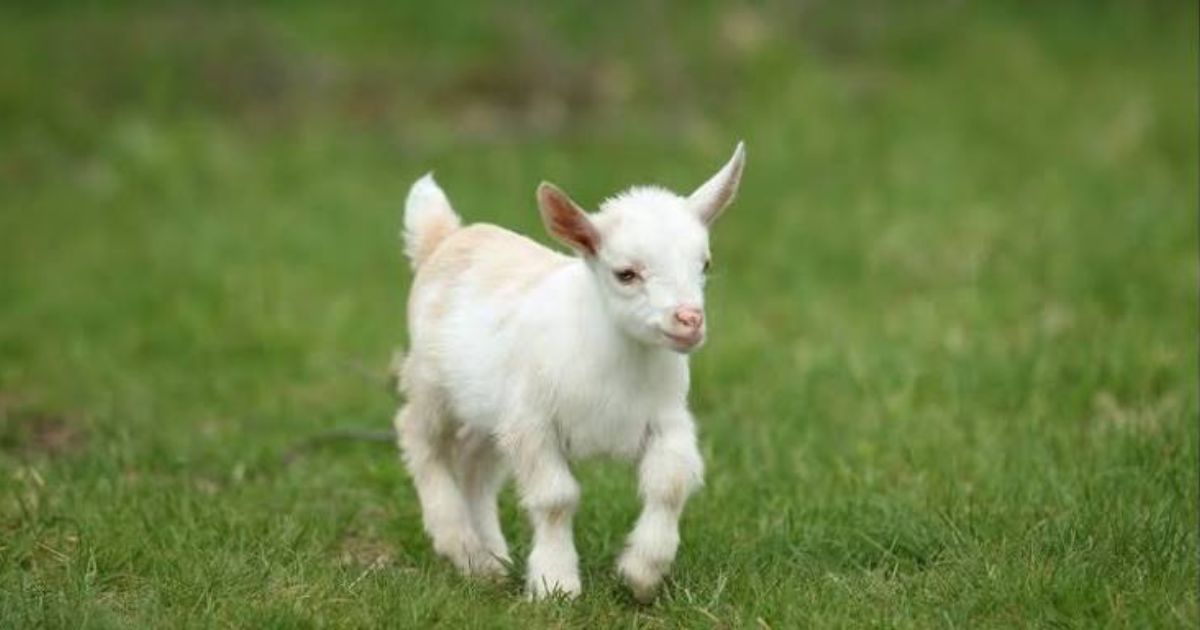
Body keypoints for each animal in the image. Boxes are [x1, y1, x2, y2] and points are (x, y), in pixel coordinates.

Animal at [393, 143, 745, 601]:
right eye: (626, 273)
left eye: (704, 264)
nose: (689, 320)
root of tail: (446, 238)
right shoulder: (533, 424)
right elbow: (555, 498)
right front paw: (554, 584)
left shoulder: (667, 421)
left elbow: (669, 485)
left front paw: (642, 571)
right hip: (432, 383)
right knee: (419, 437)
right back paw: (459, 544)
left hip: (491, 408)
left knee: (475, 461)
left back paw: (490, 561)